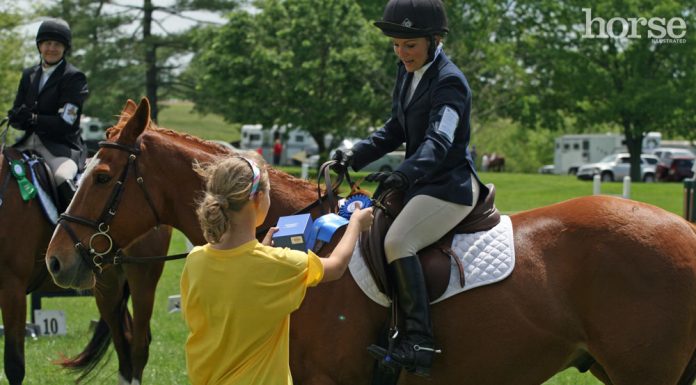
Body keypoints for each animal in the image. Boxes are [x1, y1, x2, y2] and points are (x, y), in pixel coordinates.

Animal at [0, 117, 171, 384]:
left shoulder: (12, 287)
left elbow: (14, 364)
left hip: (141, 279)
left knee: (139, 344)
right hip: (108, 288)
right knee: (124, 341)